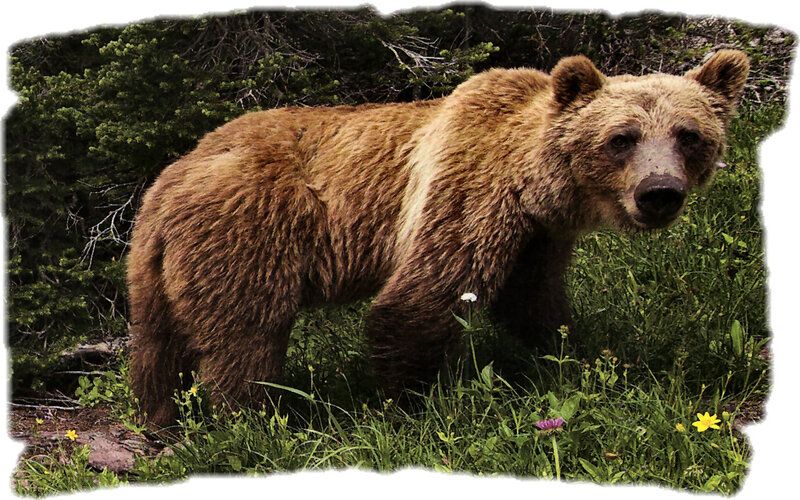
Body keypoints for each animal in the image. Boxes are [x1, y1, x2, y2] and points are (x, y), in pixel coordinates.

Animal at [127, 50, 749, 427]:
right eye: (622, 138)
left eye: (689, 134)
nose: (660, 192)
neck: (536, 180)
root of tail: (169, 180)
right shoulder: (470, 189)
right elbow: (422, 298)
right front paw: (411, 406)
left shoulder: (537, 236)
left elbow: (534, 304)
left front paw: (575, 354)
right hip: (248, 234)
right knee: (246, 336)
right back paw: (256, 420)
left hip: (156, 266)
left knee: (159, 343)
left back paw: (163, 418)